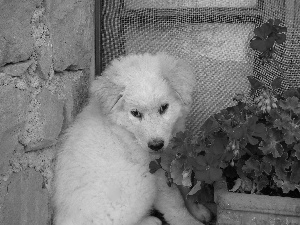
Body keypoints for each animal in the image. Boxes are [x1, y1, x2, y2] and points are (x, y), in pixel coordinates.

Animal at [53, 53, 209, 225]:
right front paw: (189, 220)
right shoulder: (155, 173)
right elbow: (173, 201)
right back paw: (150, 220)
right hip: (139, 184)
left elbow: (185, 188)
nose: (156, 145)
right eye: (135, 113)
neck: (126, 132)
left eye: (164, 108)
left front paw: (199, 209)